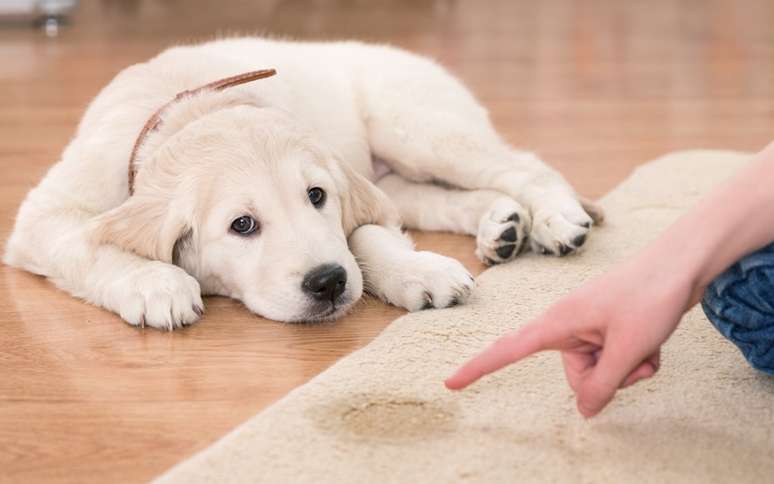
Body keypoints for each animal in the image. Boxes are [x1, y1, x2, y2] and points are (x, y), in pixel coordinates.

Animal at [3, 37, 604, 328]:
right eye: (242, 225)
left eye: (317, 197)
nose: (328, 283)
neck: (192, 108)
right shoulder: (44, 216)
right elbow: (86, 244)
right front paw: (155, 284)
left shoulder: (350, 191)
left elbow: (365, 235)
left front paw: (416, 270)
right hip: (400, 173)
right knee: (439, 199)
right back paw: (501, 225)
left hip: (418, 128)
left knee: (523, 165)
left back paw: (555, 219)